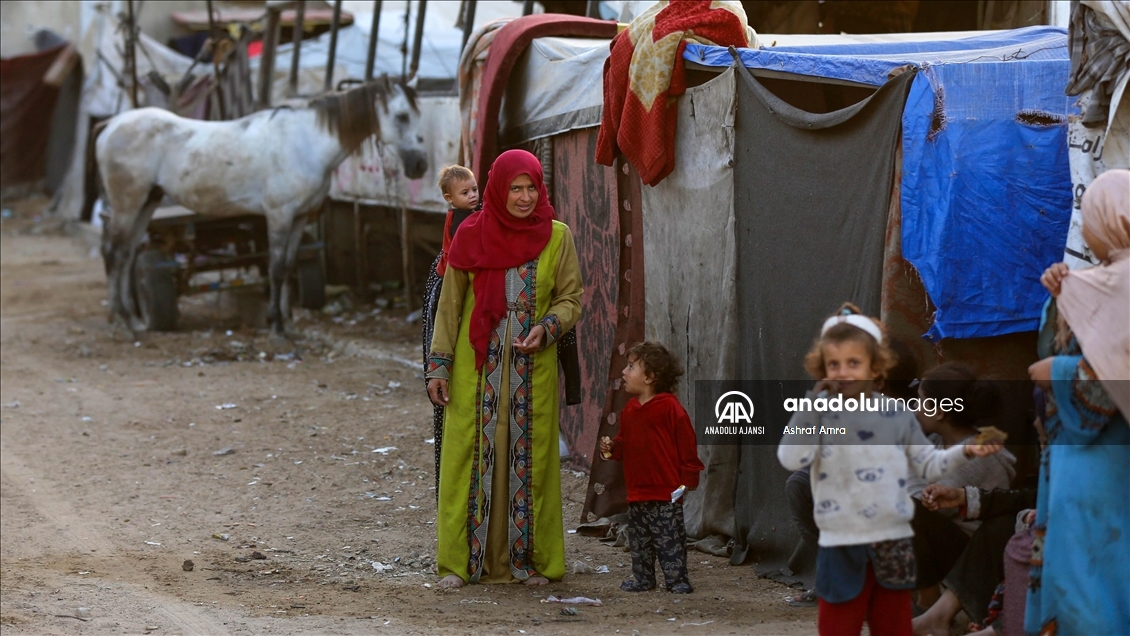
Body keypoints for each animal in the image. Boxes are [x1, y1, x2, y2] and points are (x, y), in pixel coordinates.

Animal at [97, 77, 427, 338]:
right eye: (401, 116)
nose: (420, 166)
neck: (307, 144)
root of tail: (111, 125)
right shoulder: (279, 215)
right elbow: (277, 269)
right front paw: (277, 327)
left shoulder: (299, 217)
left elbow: (290, 266)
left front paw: (289, 324)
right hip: (128, 203)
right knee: (114, 253)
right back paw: (124, 322)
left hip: (147, 202)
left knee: (126, 254)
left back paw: (134, 321)